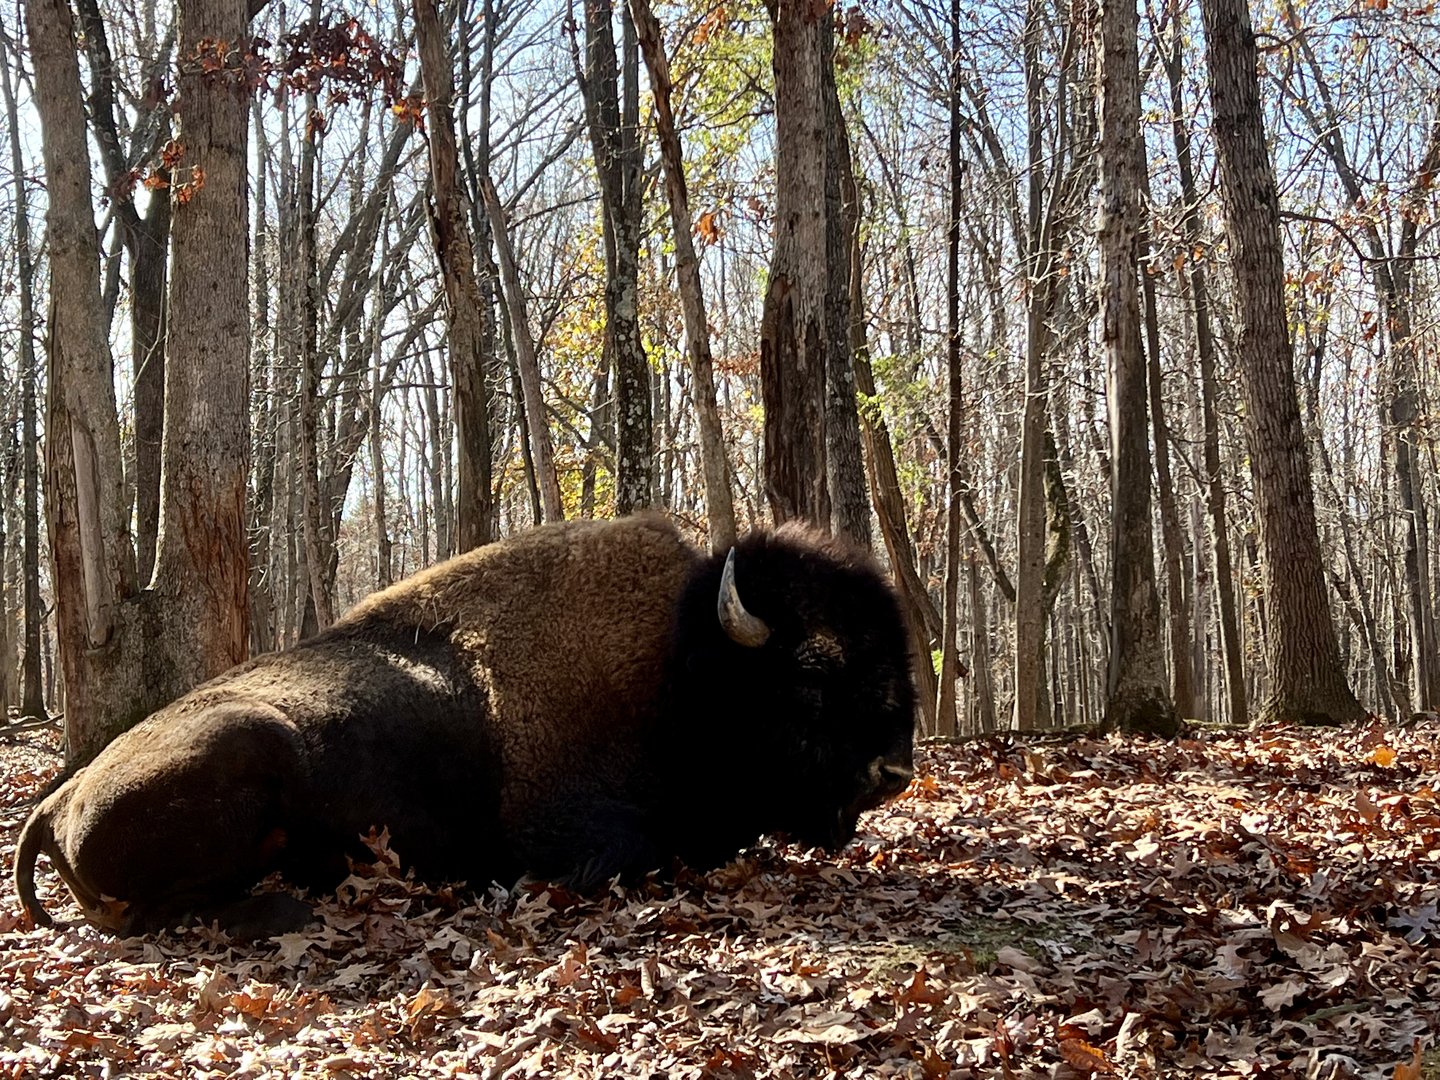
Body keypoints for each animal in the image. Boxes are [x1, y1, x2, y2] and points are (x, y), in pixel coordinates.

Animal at [14, 515, 916, 935]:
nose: (894, 772)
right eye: (814, 674)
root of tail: (55, 803)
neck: (675, 668)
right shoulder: (576, 835)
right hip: (247, 739)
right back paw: (292, 906)